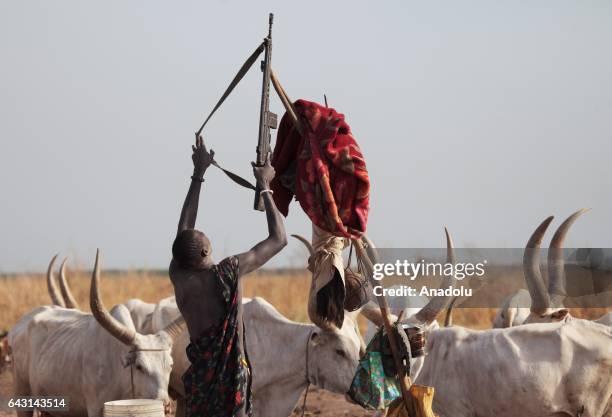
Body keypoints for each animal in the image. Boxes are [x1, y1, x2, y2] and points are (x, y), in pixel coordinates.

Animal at [8, 250, 184, 416]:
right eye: (139, 366)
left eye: (170, 365)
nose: (165, 405)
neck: (119, 368)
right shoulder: (96, 408)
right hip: (22, 395)